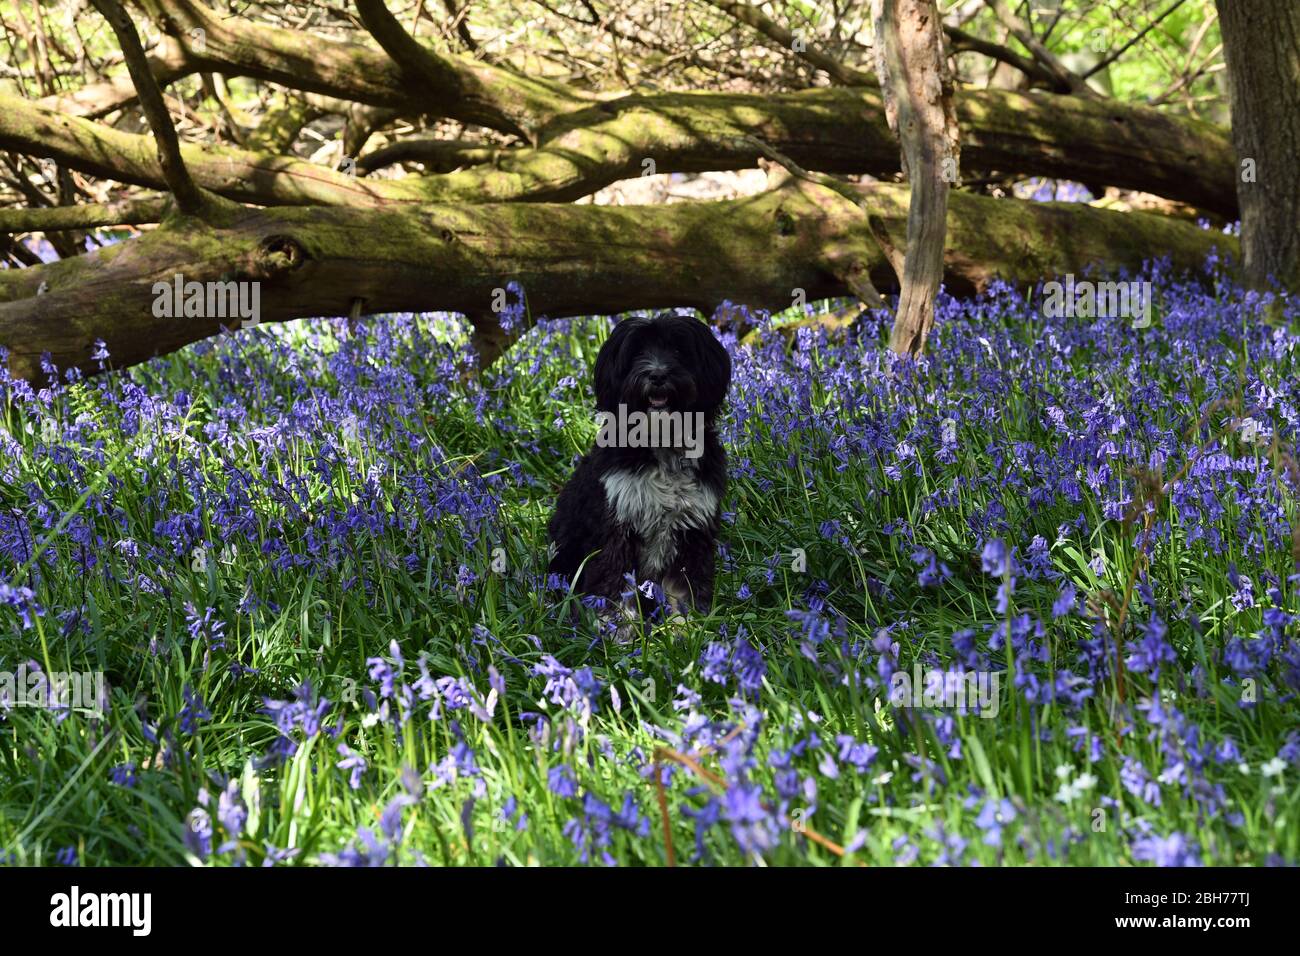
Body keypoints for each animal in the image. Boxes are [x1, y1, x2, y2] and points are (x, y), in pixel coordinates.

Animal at [546, 310, 733, 632]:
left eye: (678, 351)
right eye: (636, 353)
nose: (657, 375)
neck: (660, 441)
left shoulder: (692, 531)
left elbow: (683, 589)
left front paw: (687, 628)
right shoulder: (617, 526)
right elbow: (615, 581)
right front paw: (616, 628)